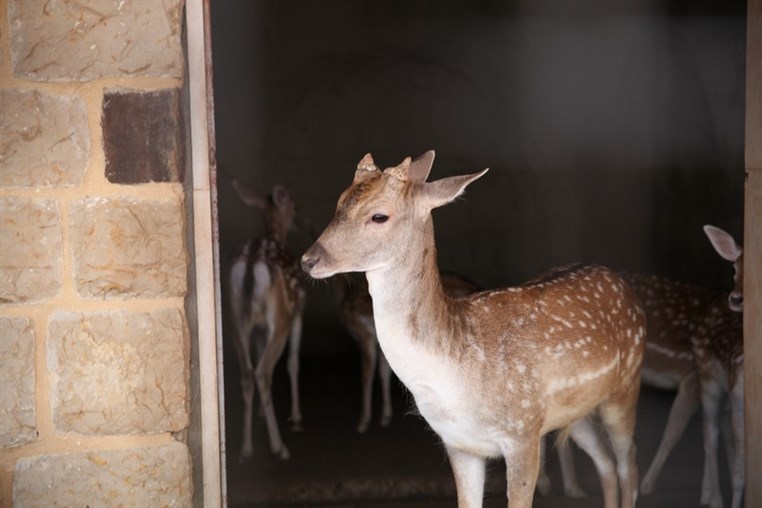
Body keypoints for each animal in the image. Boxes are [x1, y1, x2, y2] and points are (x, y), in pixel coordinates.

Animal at [227, 180, 304, 460]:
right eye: (294, 206)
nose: (298, 222)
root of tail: (251, 265)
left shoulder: (258, 330)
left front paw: (260, 415)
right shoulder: (298, 310)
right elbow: (293, 362)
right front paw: (297, 417)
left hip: (235, 321)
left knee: (248, 372)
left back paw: (246, 449)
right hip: (280, 319)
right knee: (263, 371)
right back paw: (279, 447)